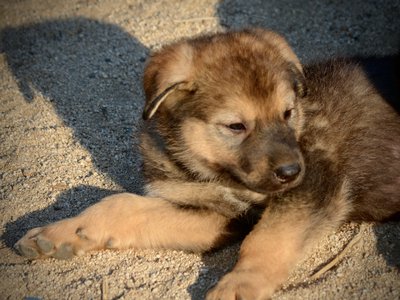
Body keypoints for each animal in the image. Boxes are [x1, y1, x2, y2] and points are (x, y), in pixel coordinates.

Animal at [14, 28, 398, 300]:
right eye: (236, 126)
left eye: (288, 113)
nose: (291, 172)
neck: (214, 172)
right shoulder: (215, 214)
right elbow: (121, 204)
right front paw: (63, 233)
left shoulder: (313, 186)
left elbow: (267, 238)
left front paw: (240, 284)